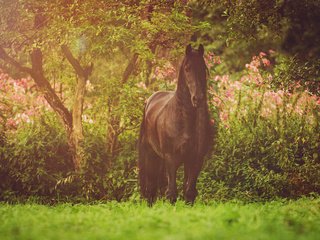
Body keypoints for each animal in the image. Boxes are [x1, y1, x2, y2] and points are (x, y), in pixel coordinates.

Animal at [139, 44, 211, 203]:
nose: (198, 98)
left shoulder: (195, 161)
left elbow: (189, 193)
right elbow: (171, 193)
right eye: (187, 68)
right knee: (151, 190)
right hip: (151, 157)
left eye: (203, 68)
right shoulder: (171, 160)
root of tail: (150, 101)